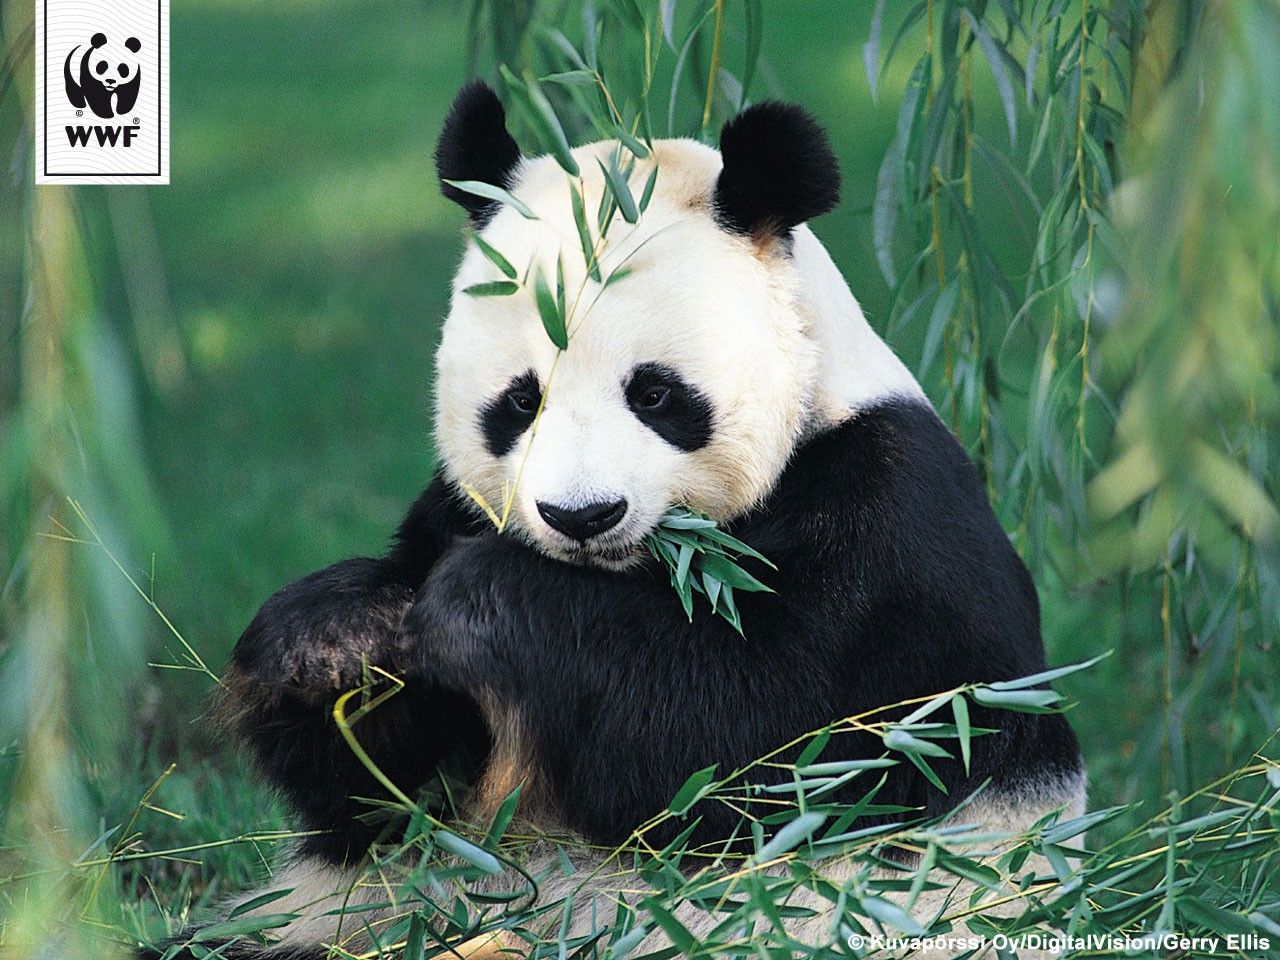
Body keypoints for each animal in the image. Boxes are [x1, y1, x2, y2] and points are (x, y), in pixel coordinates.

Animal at [141, 83, 1084, 959]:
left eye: (656, 394)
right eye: (521, 401)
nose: (581, 515)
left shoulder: (889, 530)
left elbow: (752, 748)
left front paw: (482, 604)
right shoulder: (450, 510)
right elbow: (386, 797)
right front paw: (334, 638)